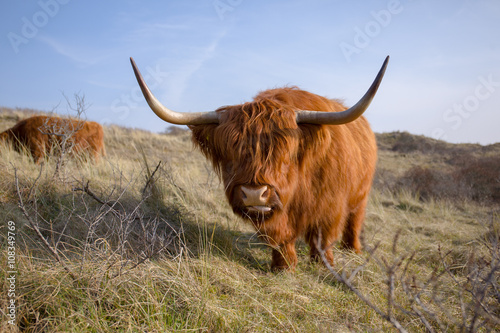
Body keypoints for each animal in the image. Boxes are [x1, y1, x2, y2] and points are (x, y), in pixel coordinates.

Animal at [131, 57, 388, 270]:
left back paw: (353, 249)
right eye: (230, 154)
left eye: (285, 154)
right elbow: (280, 239)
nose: (254, 194)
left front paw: (325, 266)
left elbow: (323, 239)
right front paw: (283, 267)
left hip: (361, 195)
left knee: (354, 222)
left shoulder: (331, 206)